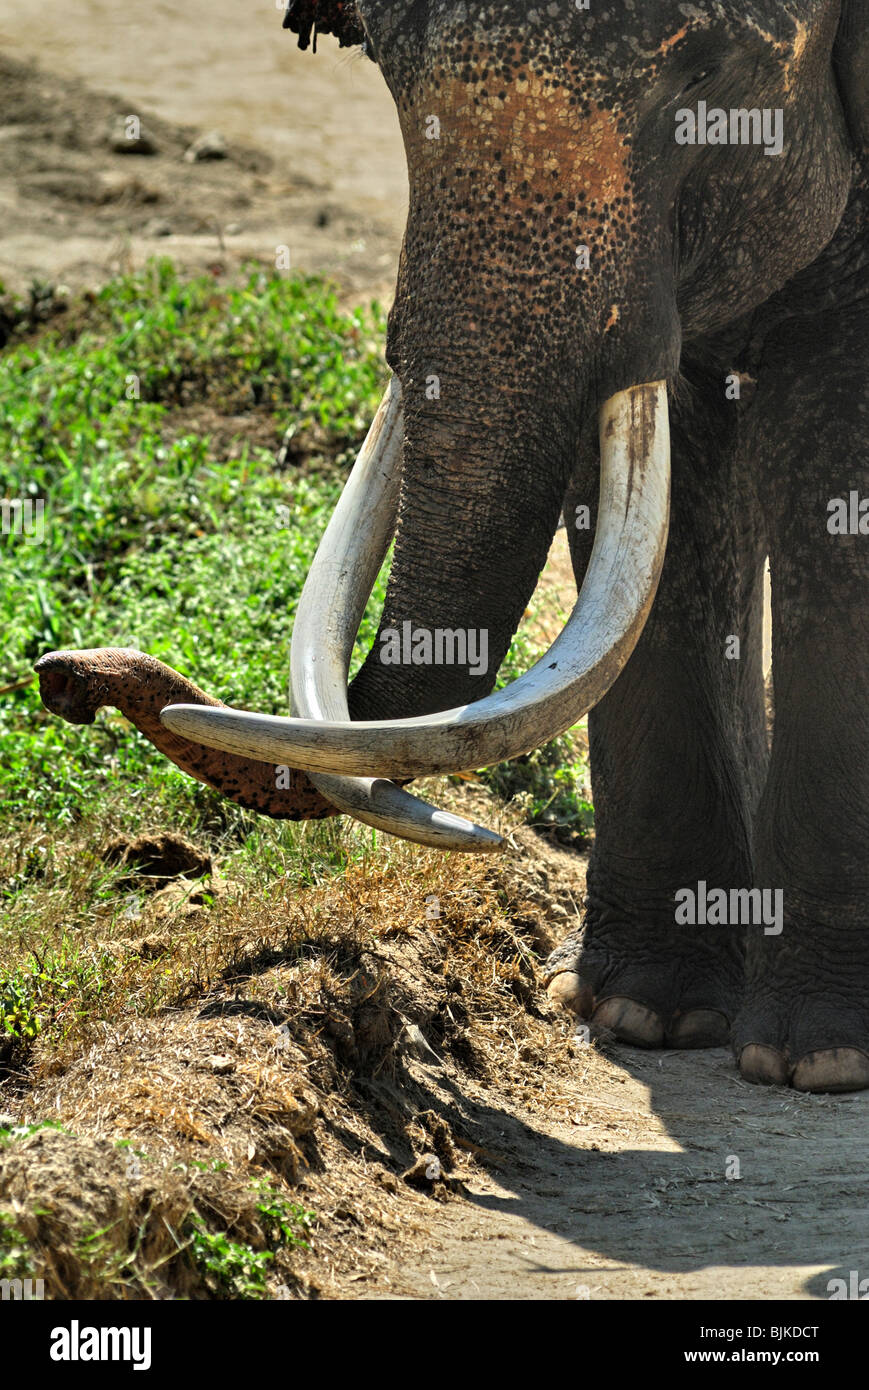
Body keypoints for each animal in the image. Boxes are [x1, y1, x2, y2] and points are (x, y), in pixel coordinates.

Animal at [37, 2, 867, 1084]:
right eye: (383, 63)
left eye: (702, 74)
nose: (64, 675)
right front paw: (635, 1014)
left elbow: (832, 473)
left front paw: (818, 1061)